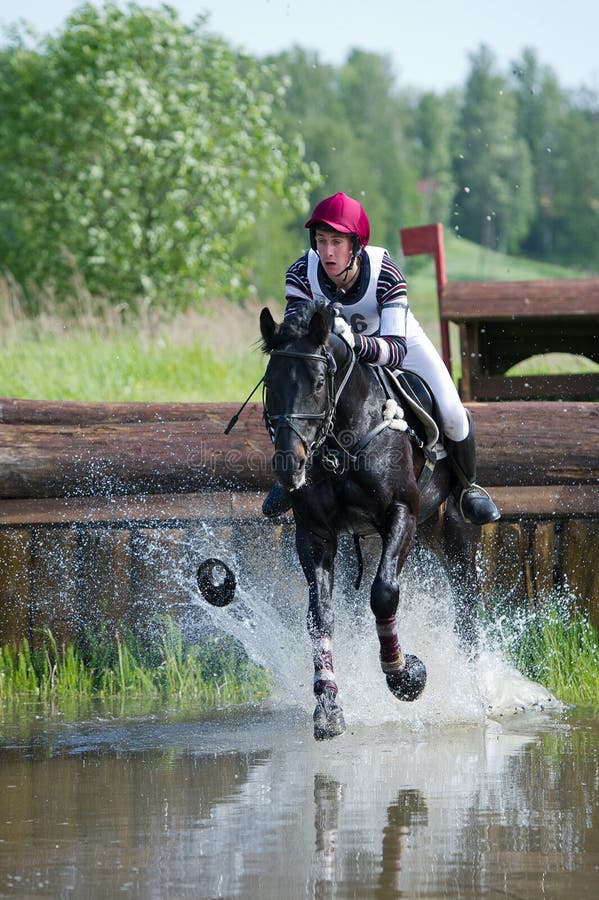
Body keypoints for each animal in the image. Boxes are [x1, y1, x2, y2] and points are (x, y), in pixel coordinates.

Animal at [259, 300, 480, 740]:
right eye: (270, 383)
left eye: (318, 383)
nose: (290, 467)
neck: (340, 440)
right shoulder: (316, 533)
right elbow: (321, 614)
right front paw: (328, 707)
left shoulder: (401, 514)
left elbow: (384, 594)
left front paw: (405, 675)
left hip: (451, 528)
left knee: (466, 599)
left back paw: (477, 684)